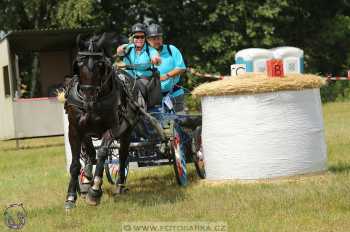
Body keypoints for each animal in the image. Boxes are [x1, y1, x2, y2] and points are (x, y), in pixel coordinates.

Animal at [63, 32, 144, 208]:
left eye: (100, 65)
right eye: (78, 64)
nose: (88, 95)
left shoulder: (113, 128)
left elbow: (102, 154)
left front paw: (94, 192)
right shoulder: (75, 129)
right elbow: (75, 163)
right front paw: (71, 197)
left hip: (127, 132)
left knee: (122, 156)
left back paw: (119, 186)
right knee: (90, 153)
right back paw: (86, 180)